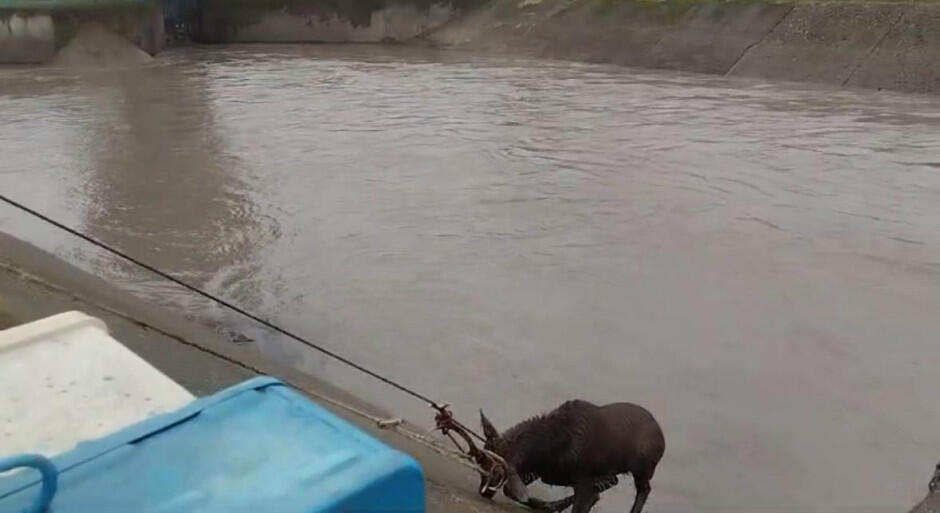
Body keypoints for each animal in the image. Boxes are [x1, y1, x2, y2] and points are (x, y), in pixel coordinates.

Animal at [478, 400, 668, 512]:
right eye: (481, 466)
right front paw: (548, 505)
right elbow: (513, 491)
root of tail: (661, 435)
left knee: (643, 490)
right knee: (613, 482)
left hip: (642, 470)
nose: (483, 492)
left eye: (497, 472)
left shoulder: (583, 481)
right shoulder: (539, 471)